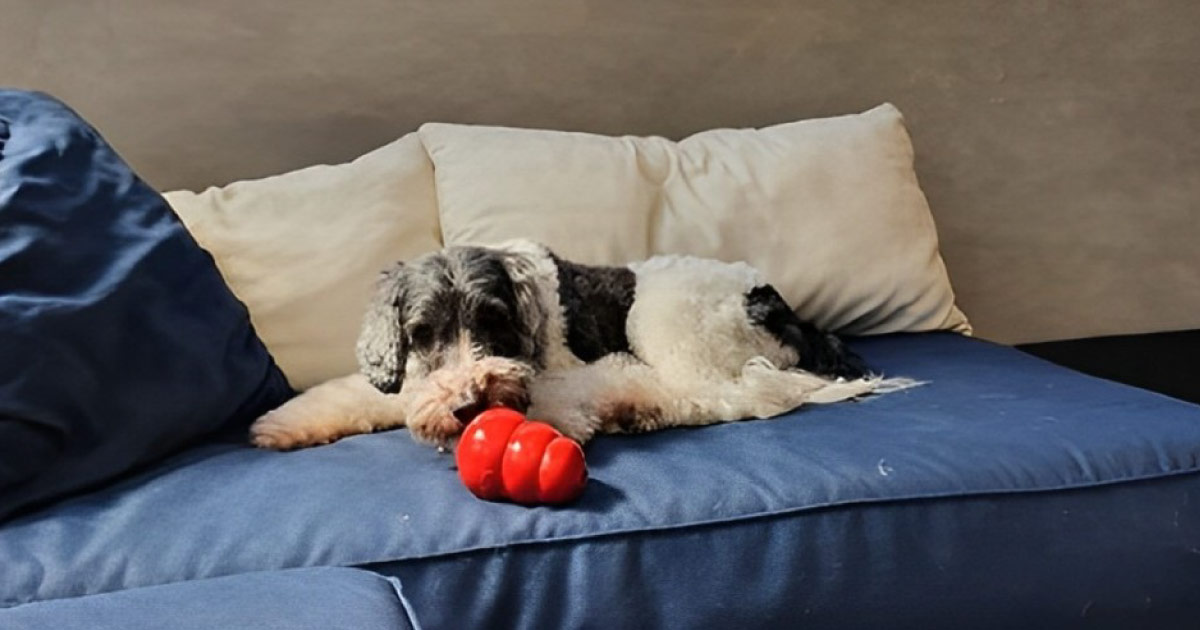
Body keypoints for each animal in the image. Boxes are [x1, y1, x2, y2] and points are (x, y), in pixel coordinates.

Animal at [248, 238, 902, 448]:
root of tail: (773, 301)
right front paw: (284, 424)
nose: (469, 405)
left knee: (717, 397)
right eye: (421, 333)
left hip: (660, 319)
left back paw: (632, 406)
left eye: (494, 320)